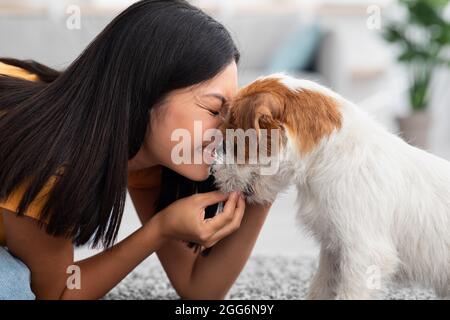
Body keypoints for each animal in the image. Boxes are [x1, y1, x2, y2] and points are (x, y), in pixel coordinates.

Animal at [212, 73, 450, 300]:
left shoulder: (363, 254)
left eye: (233, 143)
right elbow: (320, 288)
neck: (328, 155)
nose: (213, 174)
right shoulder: (332, 251)